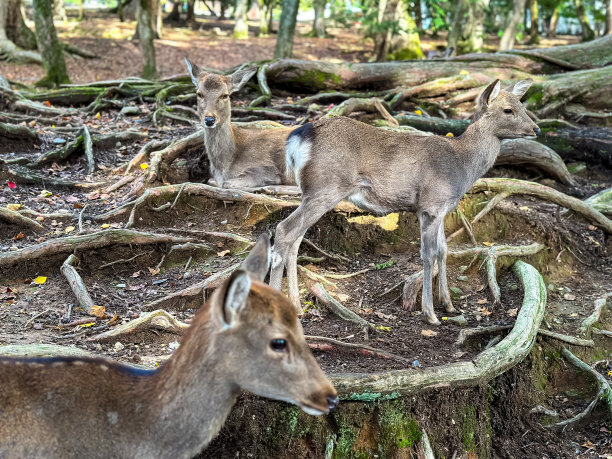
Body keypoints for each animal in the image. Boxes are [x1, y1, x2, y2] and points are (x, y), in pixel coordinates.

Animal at [184, 58, 296, 189]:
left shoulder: (267, 169)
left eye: (225, 95)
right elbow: (211, 180)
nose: (209, 119)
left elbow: (226, 183)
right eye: (199, 94)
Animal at [270, 79, 536, 326]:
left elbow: (444, 250)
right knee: (284, 230)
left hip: (312, 192)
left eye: (522, 104)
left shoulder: (441, 209)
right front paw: (430, 313)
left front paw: (449, 305)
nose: (535, 128)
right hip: (325, 188)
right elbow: (429, 254)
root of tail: (295, 139)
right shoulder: (431, 204)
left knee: (296, 239)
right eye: (508, 110)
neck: (462, 166)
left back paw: (296, 306)